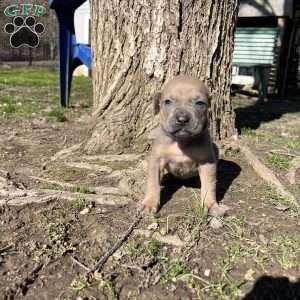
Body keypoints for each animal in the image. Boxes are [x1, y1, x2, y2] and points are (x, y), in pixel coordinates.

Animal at [140, 75, 227, 216]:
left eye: (200, 103)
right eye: (167, 102)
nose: (182, 119)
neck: (181, 140)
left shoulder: (207, 162)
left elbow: (209, 185)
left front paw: (210, 204)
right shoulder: (156, 160)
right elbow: (152, 183)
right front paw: (149, 203)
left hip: (215, 149)